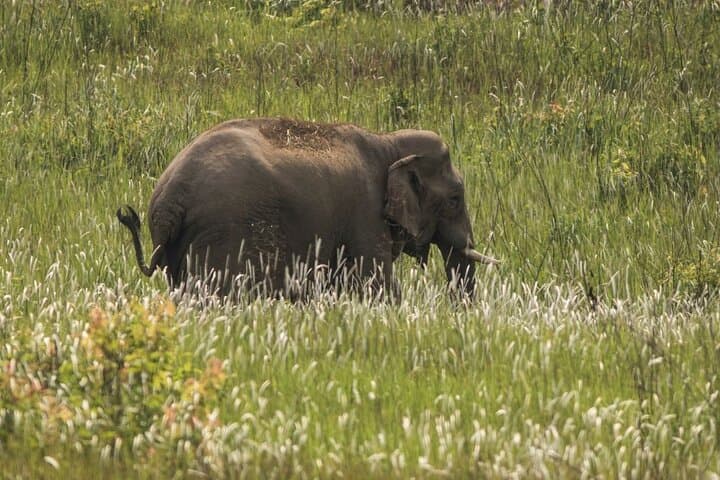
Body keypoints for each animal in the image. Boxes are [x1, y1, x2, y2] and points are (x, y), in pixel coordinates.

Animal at [117, 117, 498, 299]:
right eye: (456, 198)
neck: (388, 141)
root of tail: (168, 201)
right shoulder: (364, 213)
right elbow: (376, 285)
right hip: (222, 237)